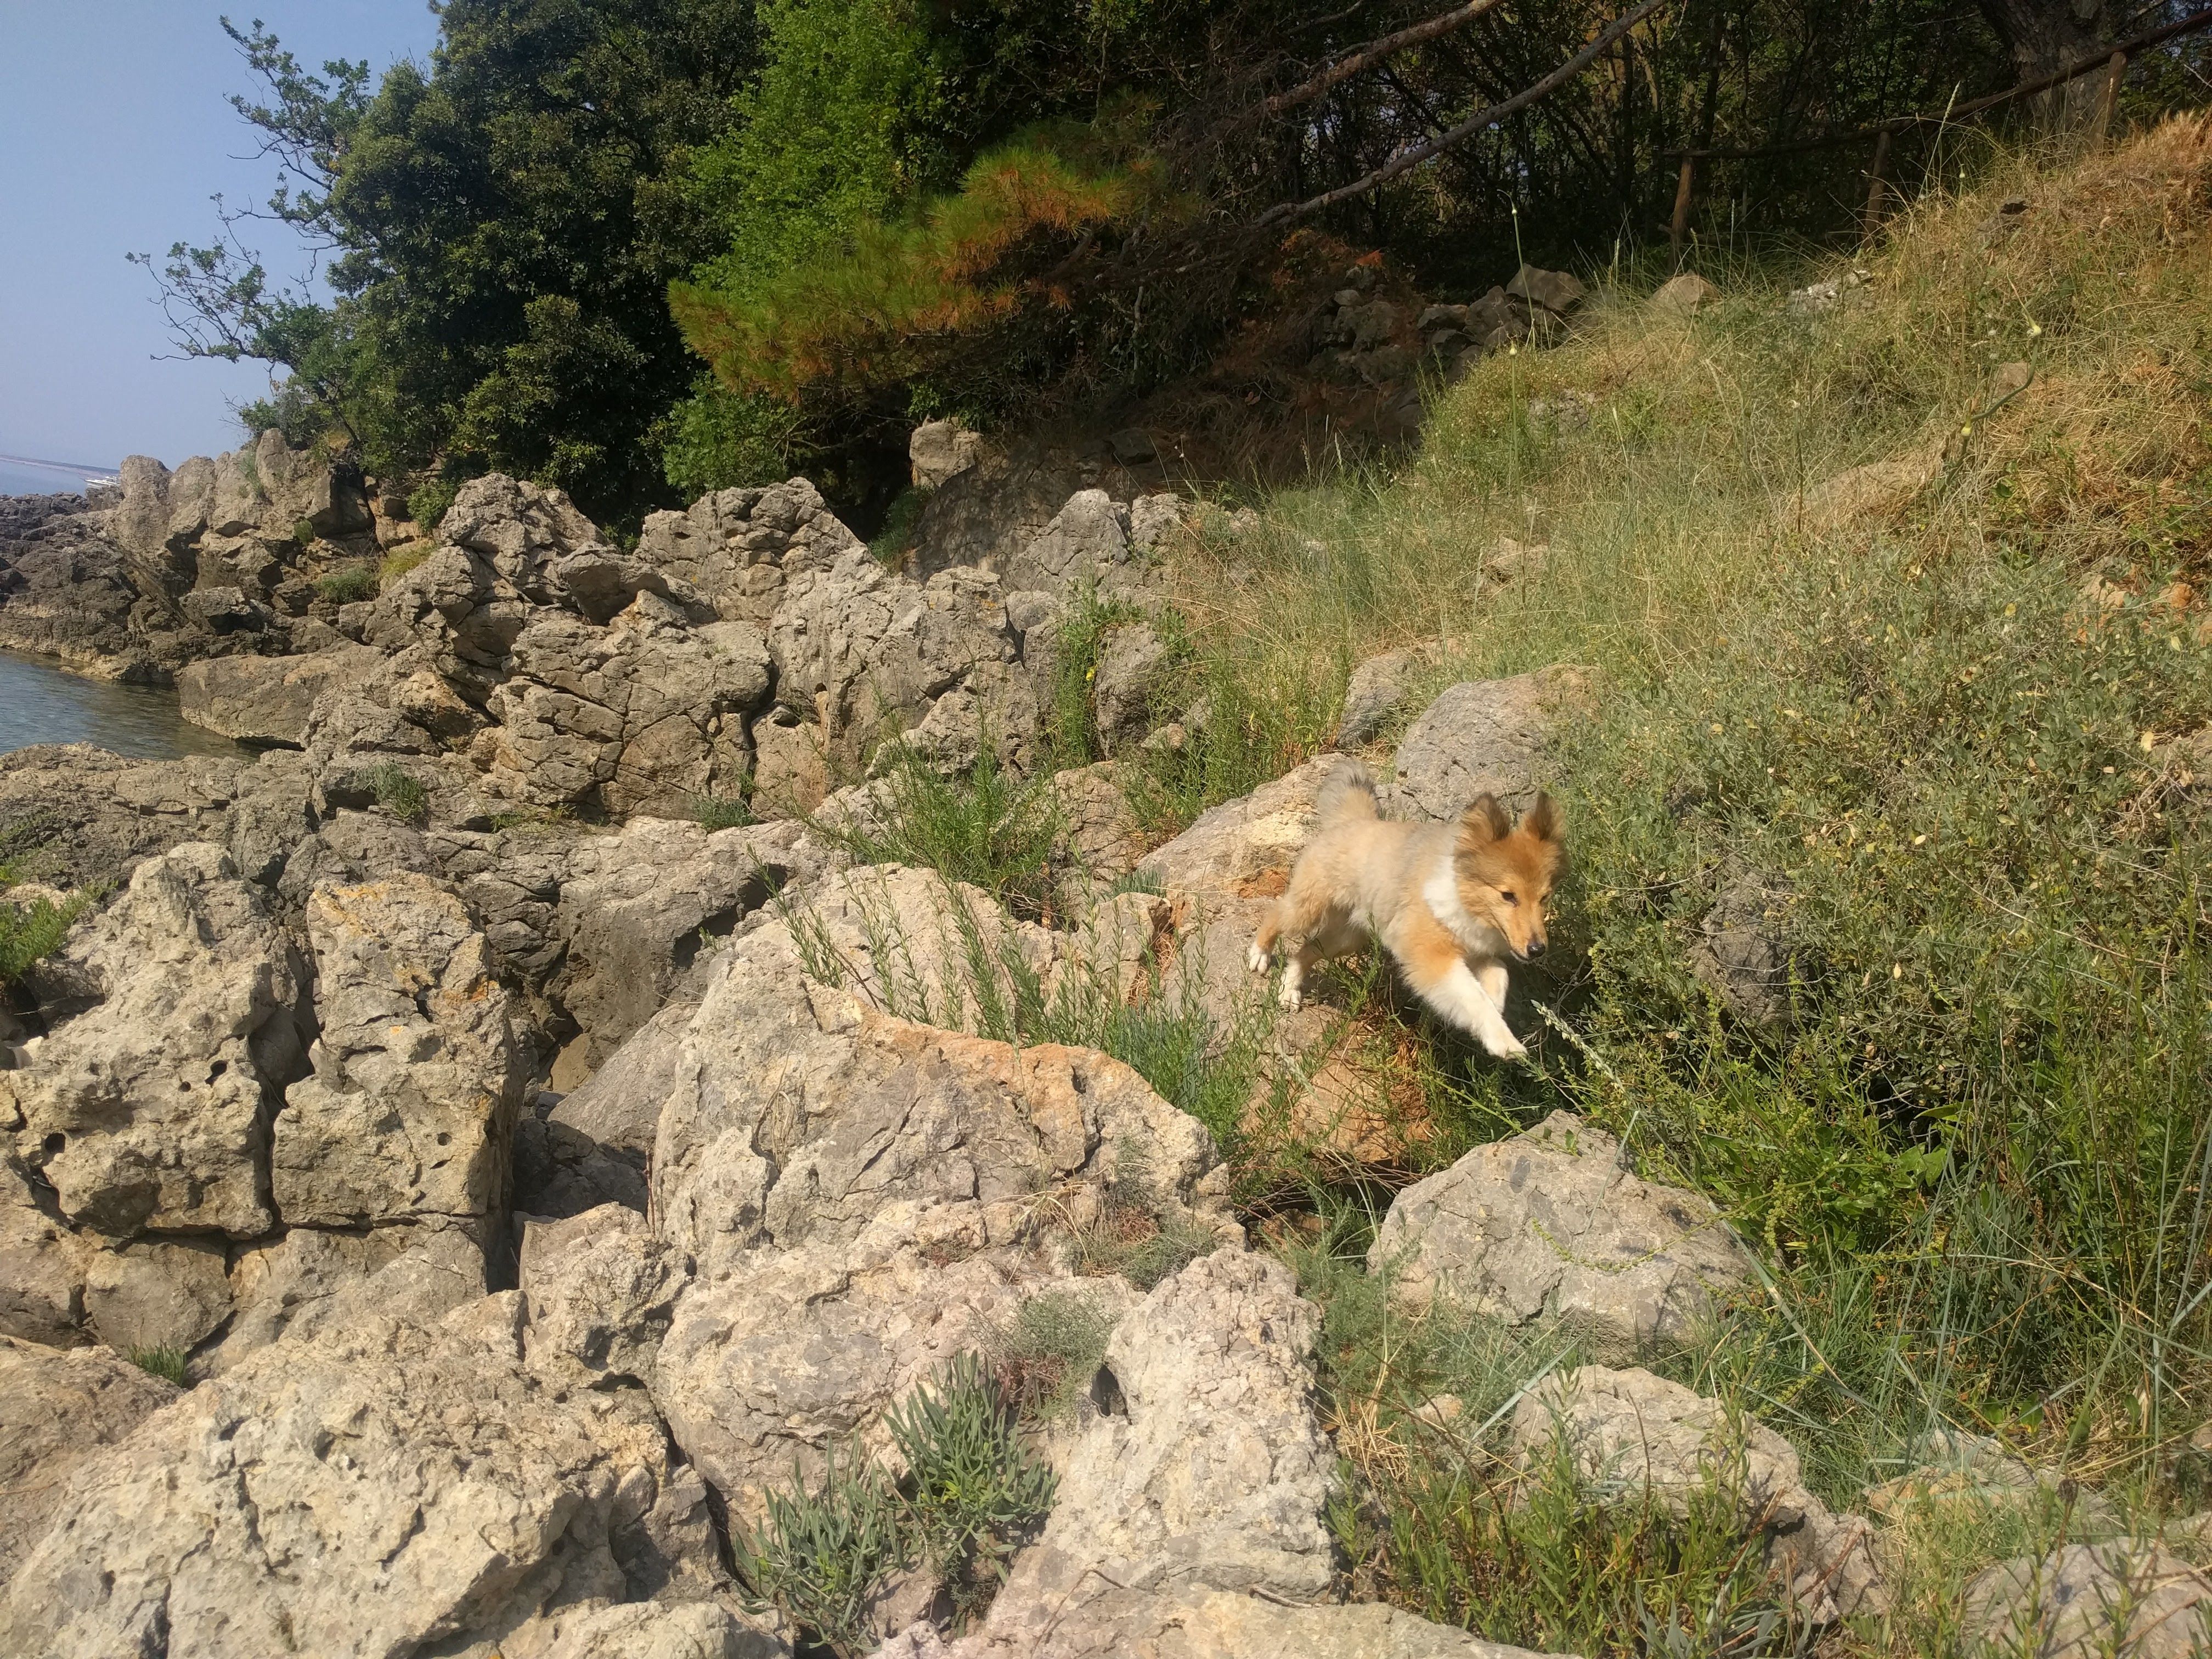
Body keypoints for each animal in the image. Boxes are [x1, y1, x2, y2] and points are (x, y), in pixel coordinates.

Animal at [1246, 762, 1564, 1061]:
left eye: (1545, 897)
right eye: (1508, 896)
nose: (1538, 950)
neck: (1460, 892)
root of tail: (1351, 821)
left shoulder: (1479, 954)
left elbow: (1498, 976)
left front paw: (1494, 1013)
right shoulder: (1432, 958)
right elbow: (1472, 997)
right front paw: (1505, 1042)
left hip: (1348, 938)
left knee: (1305, 951)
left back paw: (1289, 992)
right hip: (1307, 910)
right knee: (1275, 914)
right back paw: (1259, 956)